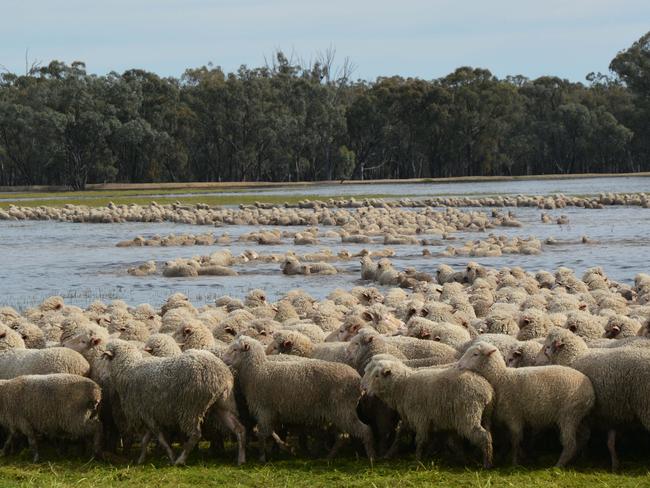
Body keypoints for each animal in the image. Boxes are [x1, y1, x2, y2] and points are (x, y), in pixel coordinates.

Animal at [104, 340, 246, 466]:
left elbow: (160, 439)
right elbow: (146, 439)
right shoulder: (150, 414)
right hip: (223, 404)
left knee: (195, 434)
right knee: (239, 429)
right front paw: (141, 459)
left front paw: (171, 456)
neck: (128, 369)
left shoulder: (145, 412)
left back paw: (180, 460)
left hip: (191, 407)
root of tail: (222, 374)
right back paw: (241, 459)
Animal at [223, 336, 374, 462]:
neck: (256, 370)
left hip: (344, 410)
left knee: (364, 430)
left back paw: (371, 457)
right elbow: (269, 432)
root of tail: (358, 381)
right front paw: (285, 447)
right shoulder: (271, 412)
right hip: (338, 413)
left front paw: (262, 457)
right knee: (342, 437)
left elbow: (262, 435)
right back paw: (329, 457)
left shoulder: (264, 410)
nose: (223, 360)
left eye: (235, 349)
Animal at [360, 354, 492, 466]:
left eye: (376, 376)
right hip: (484, 416)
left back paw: (487, 463)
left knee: (483, 436)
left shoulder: (420, 418)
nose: (364, 389)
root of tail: (486, 388)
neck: (402, 385)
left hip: (468, 415)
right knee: (489, 433)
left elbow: (420, 440)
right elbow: (400, 436)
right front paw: (389, 454)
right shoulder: (409, 418)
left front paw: (418, 459)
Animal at [456, 342, 592, 468]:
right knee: (583, 437)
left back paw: (559, 464)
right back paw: (578, 458)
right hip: (580, 418)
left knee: (570, 443)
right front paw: (507, 457)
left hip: (568, 415)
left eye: (475, 354)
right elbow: (507, 440)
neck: (500, 378)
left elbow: (515, 441)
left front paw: (515, 462)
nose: (458, 365)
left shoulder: (514, 416)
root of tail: (590, 391)